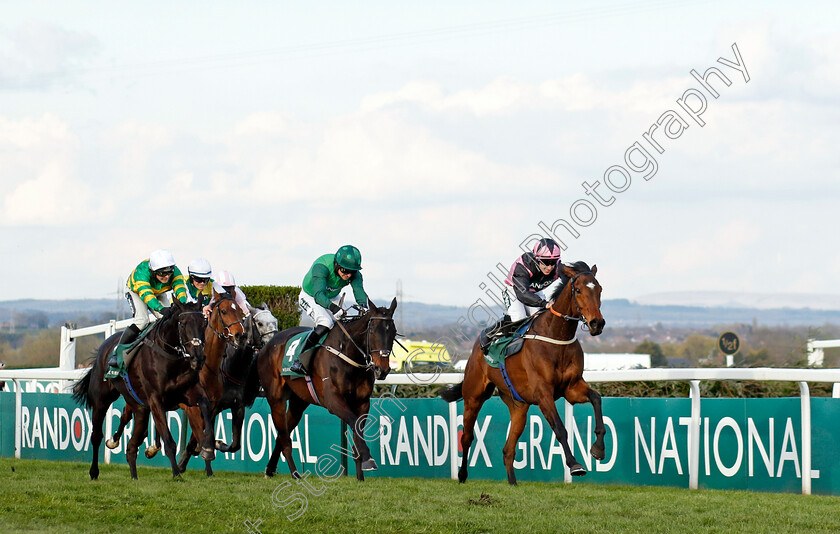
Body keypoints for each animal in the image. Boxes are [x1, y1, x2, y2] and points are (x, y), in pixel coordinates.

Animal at [72, 302, 213, 482]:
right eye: (182, 324)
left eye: (204, 324)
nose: (198, 358)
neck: (171, 358)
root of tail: (104, 346)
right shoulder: (156, 400)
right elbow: (169, 441)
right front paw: (176, 474)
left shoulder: (190, 395)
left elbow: (206, 407)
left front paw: (207, 448)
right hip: (101, 401)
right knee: (96, 436)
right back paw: (94, 471)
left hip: (140, 408)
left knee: (132, 445)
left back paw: (134, 476)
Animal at [176, 304, 276, 476]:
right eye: (260, 323)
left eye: (275, 321)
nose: (275, 342)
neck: (229, 369)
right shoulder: (200, 407)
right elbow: (196, 437)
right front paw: (185, 462)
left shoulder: (236, 406)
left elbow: (235, 444)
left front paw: (216, 444)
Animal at [258, 300, 398, 484]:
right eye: (373, 330)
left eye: (393, 332)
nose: (383, 370)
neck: (348, 354)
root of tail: (268, 345)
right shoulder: (334, 402)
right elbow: (353, 422)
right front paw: (368, 459)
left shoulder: (362, 403)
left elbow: (357, 430)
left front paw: (361, 474)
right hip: (276, 399)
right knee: (284, 436)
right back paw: (295, 474)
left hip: (298, 402)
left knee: (283, 433)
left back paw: (270, 469)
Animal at [440, 262, 604, 488]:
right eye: (578, 290)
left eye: (599, 289)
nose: (597, 323)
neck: (556, 337)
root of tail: (476, 348)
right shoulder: (543, 394)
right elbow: (560, 428)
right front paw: (575, 465)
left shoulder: (572, 388)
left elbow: (596, 399)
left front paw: (598, 449)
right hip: (473, 397)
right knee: (467, 437)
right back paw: (462, 475)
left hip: (518, 406)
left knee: (508, 450)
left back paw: (513, 484)